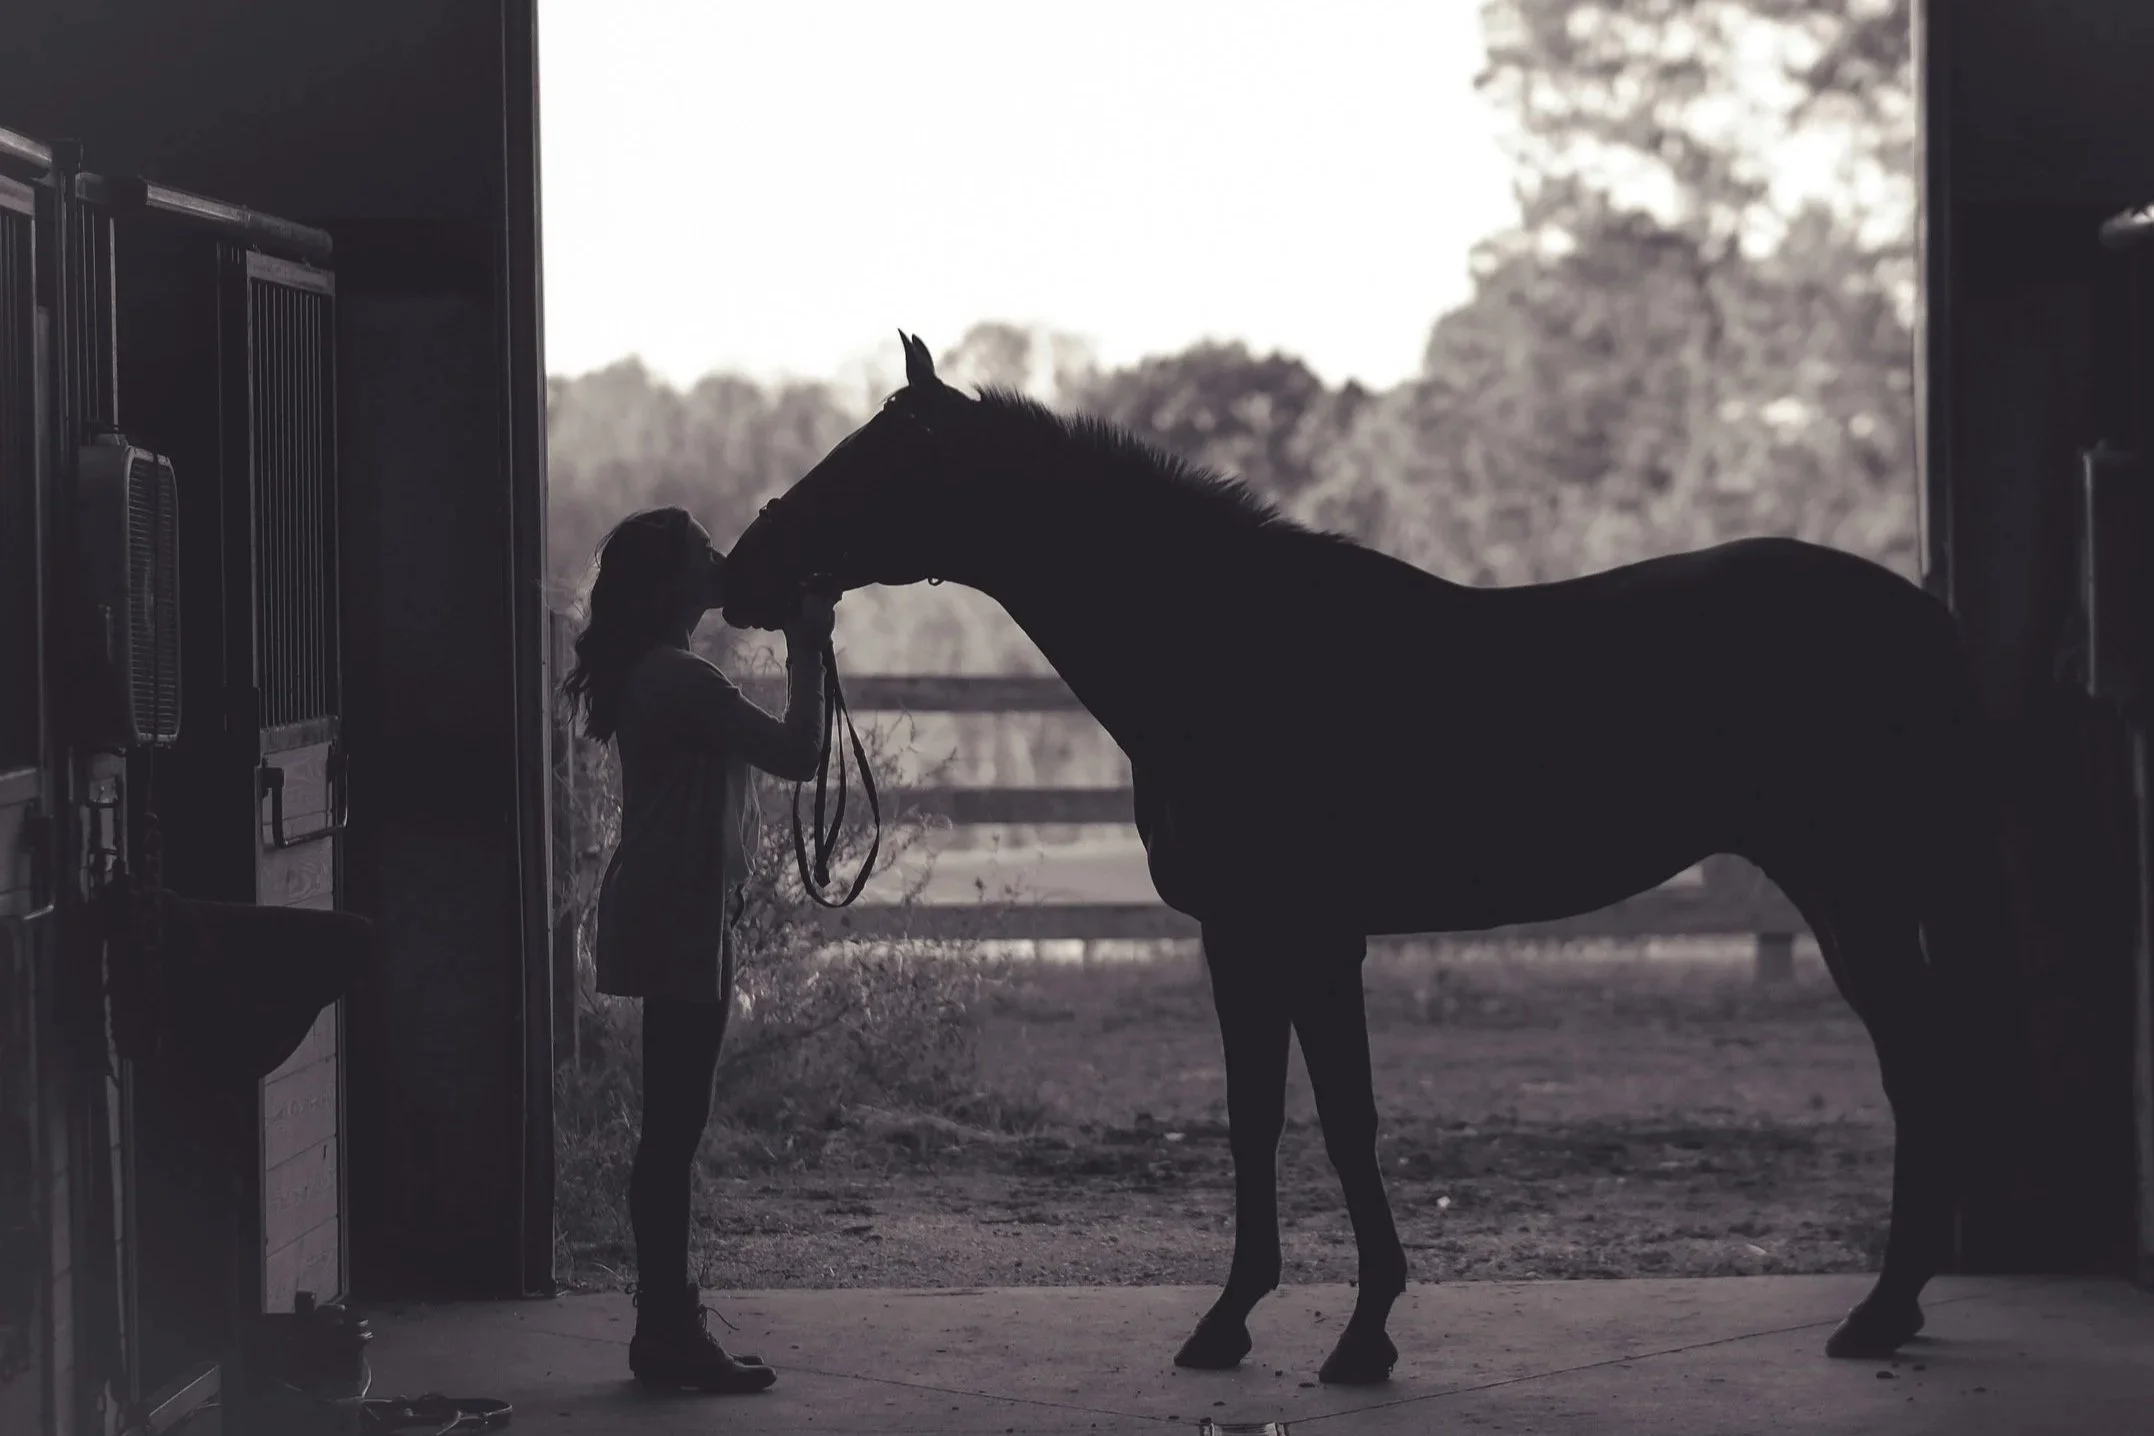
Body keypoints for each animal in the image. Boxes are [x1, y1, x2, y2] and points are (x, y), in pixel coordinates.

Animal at [720, 332, 2023, 1385]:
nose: (742, 572)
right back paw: (1893, 1310)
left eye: (872, 462)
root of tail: (1921, 615)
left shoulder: (1313, 933)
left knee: (1922, 1069)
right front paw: (1229, 1321)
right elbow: (1254, 1117)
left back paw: (1879, 1312)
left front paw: (1363, 1333)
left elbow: (1347, 1117)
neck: (1229, 648)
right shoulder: (1236, 936)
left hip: (1856, 891)